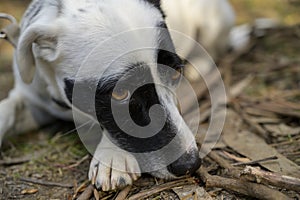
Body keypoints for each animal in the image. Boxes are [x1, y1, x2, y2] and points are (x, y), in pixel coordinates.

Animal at [0, 0, 234, 191]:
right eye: (120, 93)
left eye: (176, 72)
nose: (189, 164)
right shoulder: (34, 102)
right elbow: (6, 109)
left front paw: (112, 155)